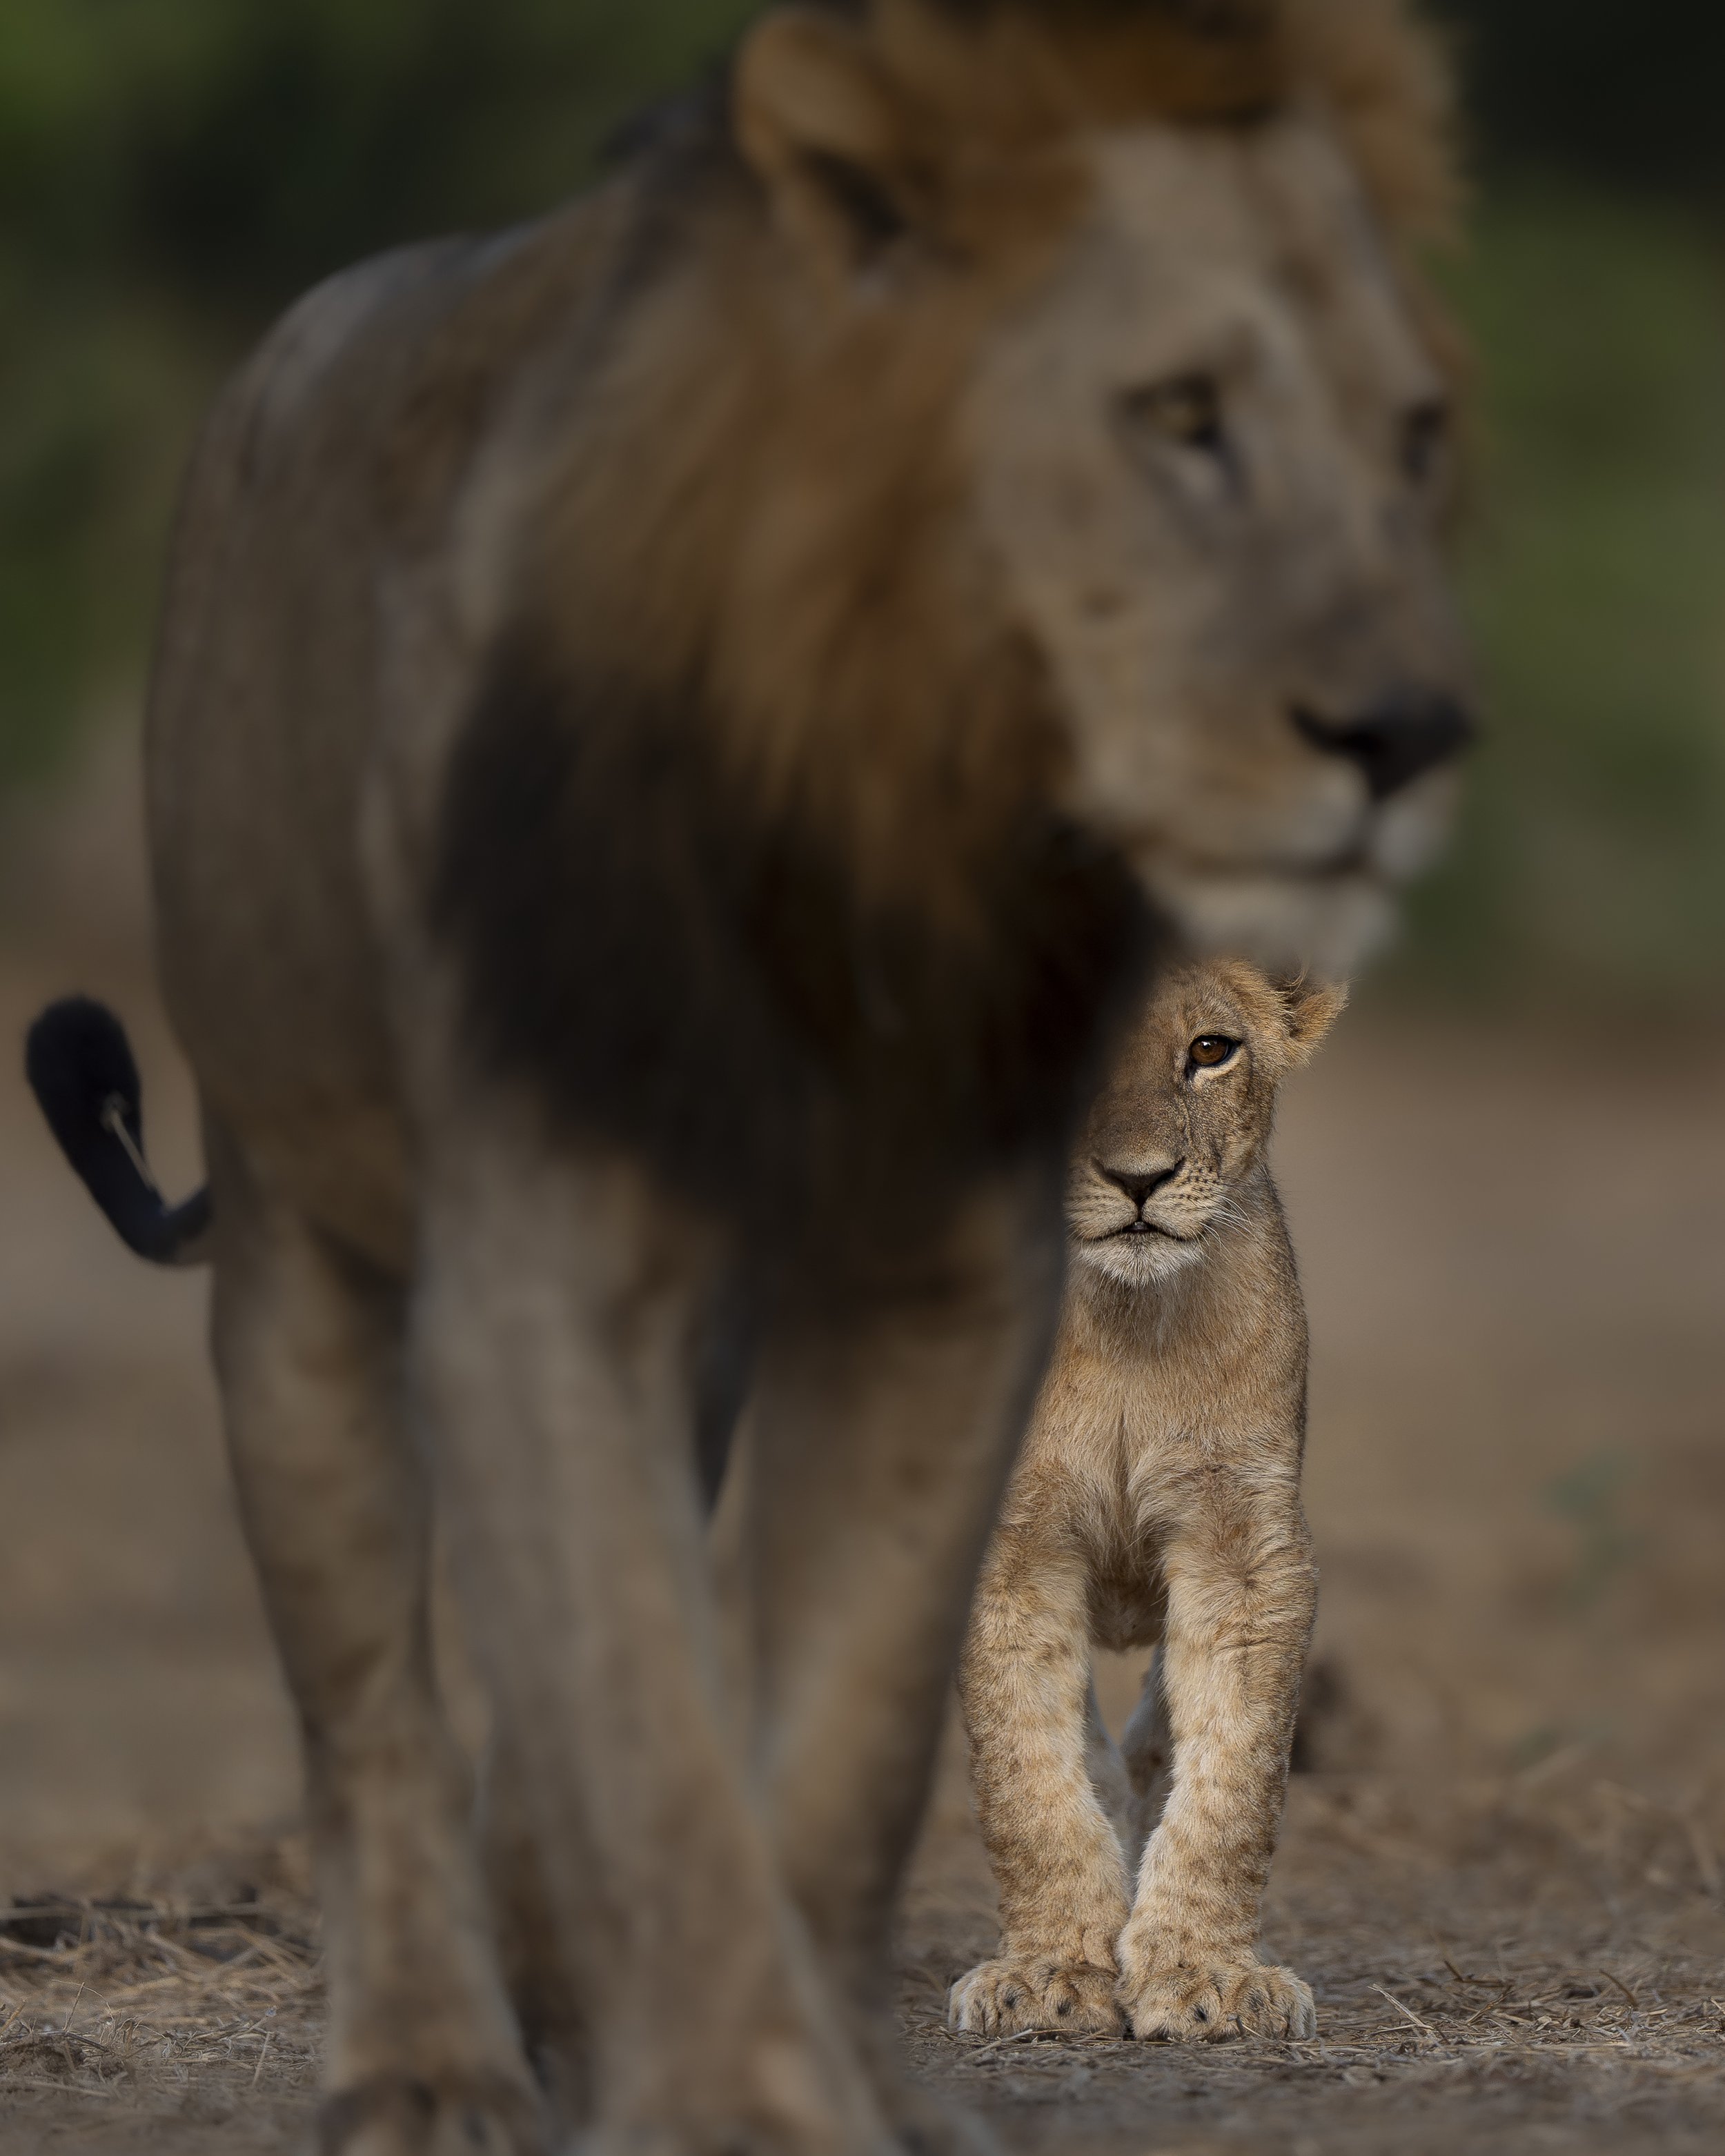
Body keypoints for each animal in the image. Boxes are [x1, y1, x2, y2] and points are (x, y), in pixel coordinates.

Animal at [951, 958, 1344, 2046]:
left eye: (1210, 1049)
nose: (1138, 1179)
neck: (1129, 1323)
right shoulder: (1012, 1544)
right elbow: (1029, 1776)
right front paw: (1051, 1969)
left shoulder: (1245, 1545)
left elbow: (1232, 1777)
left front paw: (1205, 1972)